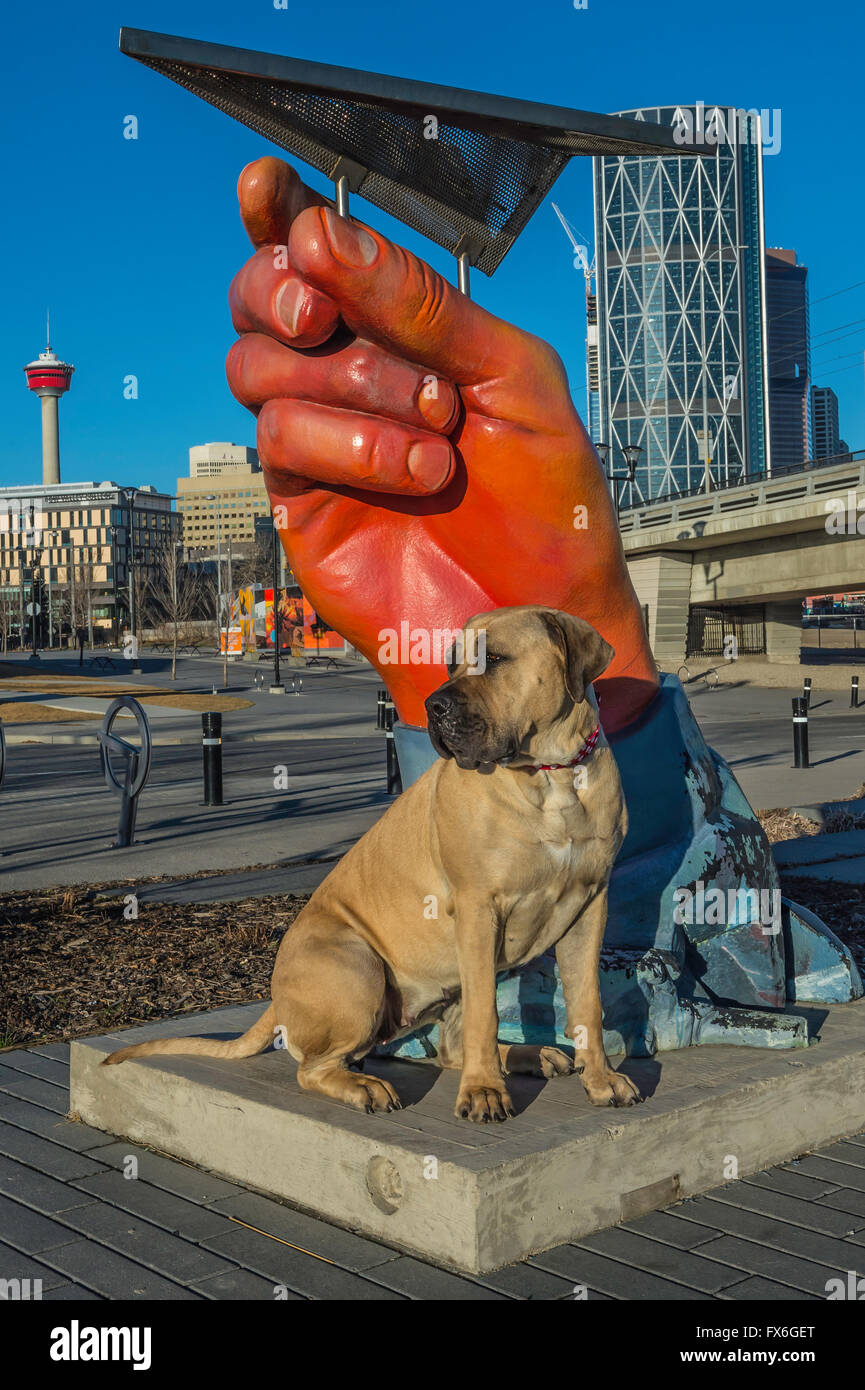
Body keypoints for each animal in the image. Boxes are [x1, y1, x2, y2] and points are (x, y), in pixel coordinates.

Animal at [104, 608, 639, 1117]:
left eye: (495, 659)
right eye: (450, 663)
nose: (433, 706)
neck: (553, 776)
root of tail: (276, 1000)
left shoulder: (589, 906)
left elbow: (587, 1003)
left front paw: (601, 1080)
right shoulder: (477, 908)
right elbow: (486, 1015)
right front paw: (485, 1093)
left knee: (450, 1048)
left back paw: (529, 1055)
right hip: (357, 967)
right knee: (315, 1067)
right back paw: (368, 1086)